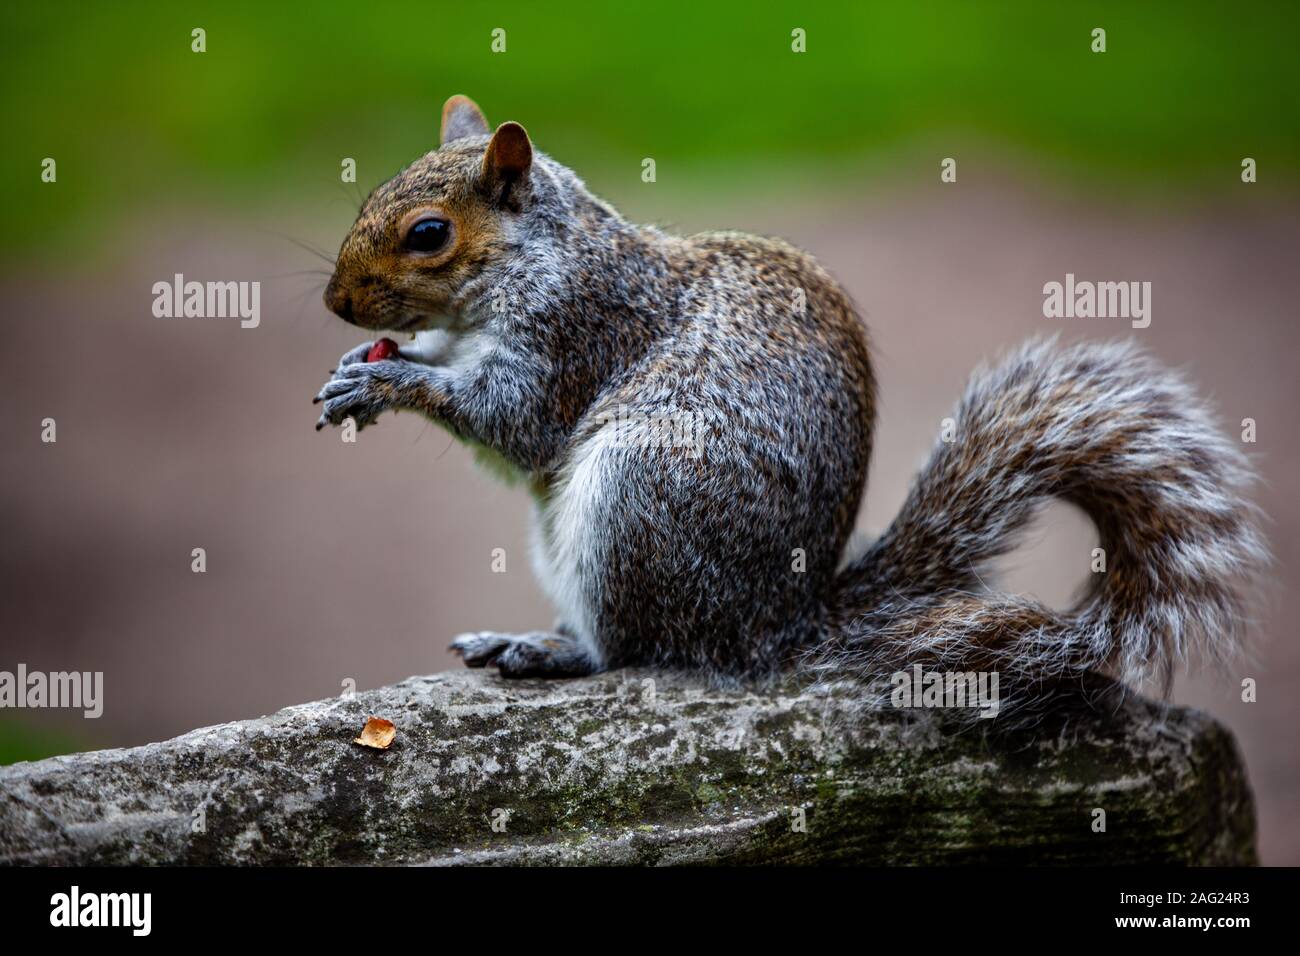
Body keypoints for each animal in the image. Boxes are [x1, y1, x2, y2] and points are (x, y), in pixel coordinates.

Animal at [315, 94, 1266, 715]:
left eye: (429, 234)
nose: (336, 302)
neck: (534, 259)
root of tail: (783, 625)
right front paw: (361, 368)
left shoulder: (579, 331)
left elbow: (515, 424)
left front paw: (390, 380)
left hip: (639, 496)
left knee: (640, 648)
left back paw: (558, 649)